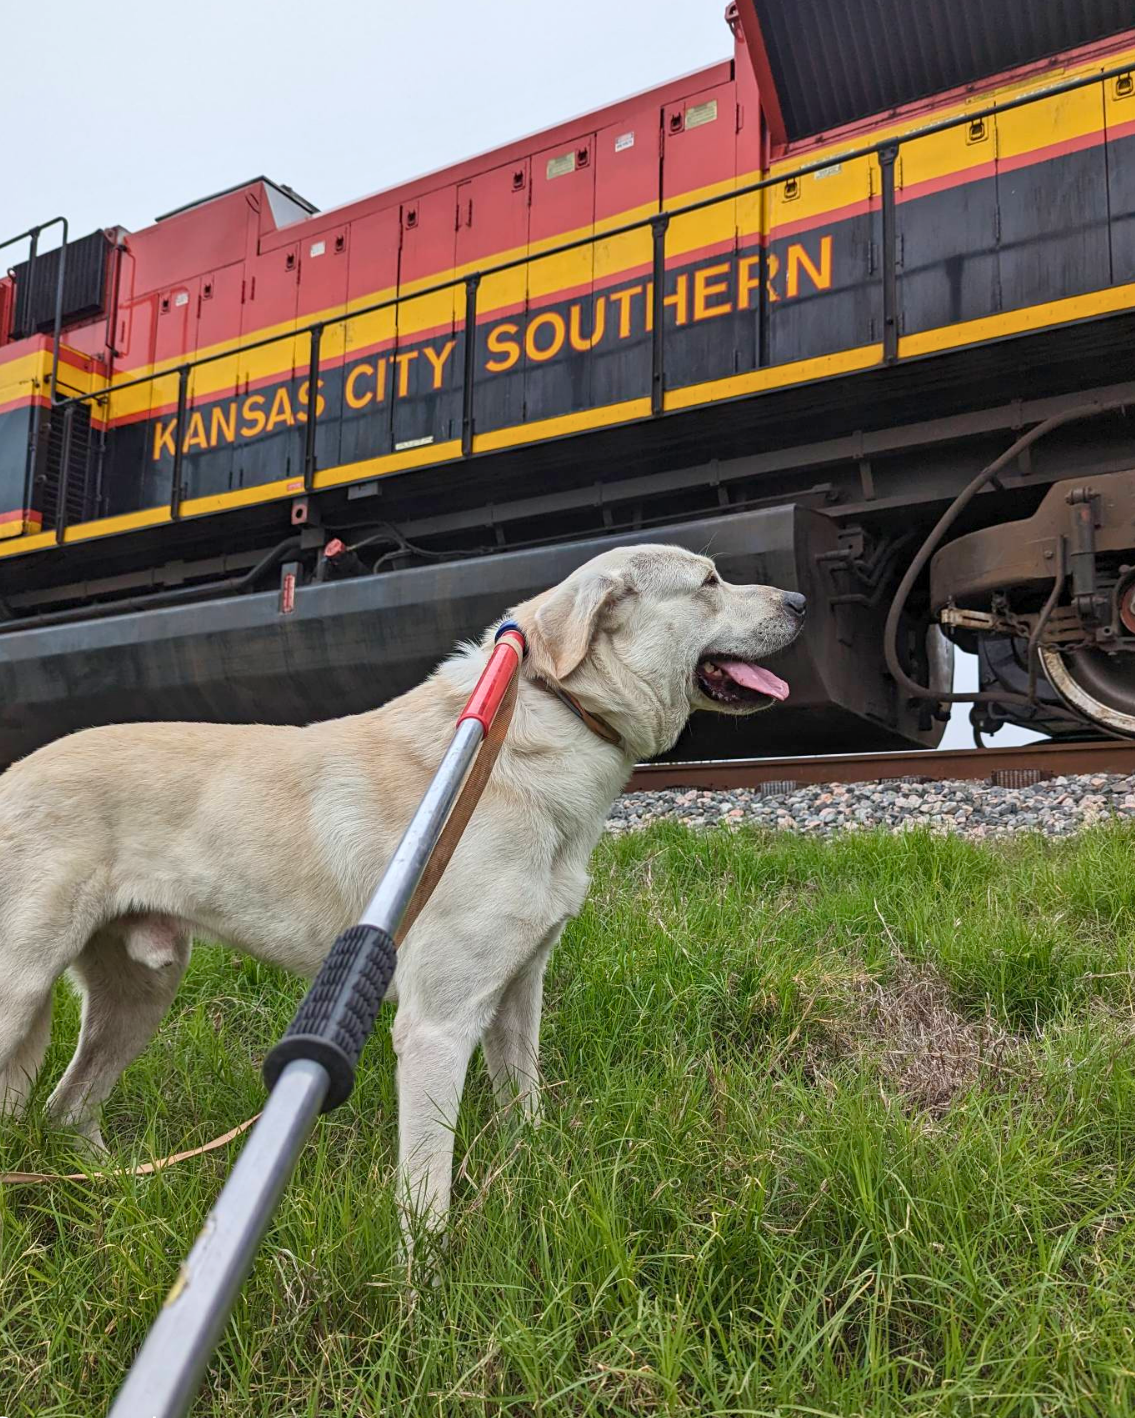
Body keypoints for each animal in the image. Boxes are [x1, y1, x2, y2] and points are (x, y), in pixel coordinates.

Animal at [0, 541, 800, 1230]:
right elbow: (425, 1194)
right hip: (22, 989)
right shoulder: (436, 1026)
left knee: (66, 1108)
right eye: (709, 582)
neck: (546, 720)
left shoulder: (516, 995)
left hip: (140, 993)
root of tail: (13, 772)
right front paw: (426, 1300)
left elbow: (525, 1116)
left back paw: (105, 1193)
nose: (797, 598)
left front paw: (533, 1189)